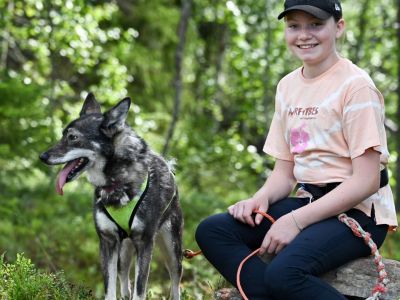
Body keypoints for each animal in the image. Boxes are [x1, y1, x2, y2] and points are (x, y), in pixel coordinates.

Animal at [39, 92, 183, 298]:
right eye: (62, 135)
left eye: (73, 137)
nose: (42, 157)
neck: (116, 183)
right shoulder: (108, 242)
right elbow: (110, 289)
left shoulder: (145, 243)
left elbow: (140, 290)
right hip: (123, 252)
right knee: (124, 283)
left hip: (171, 249)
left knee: (175, 279)